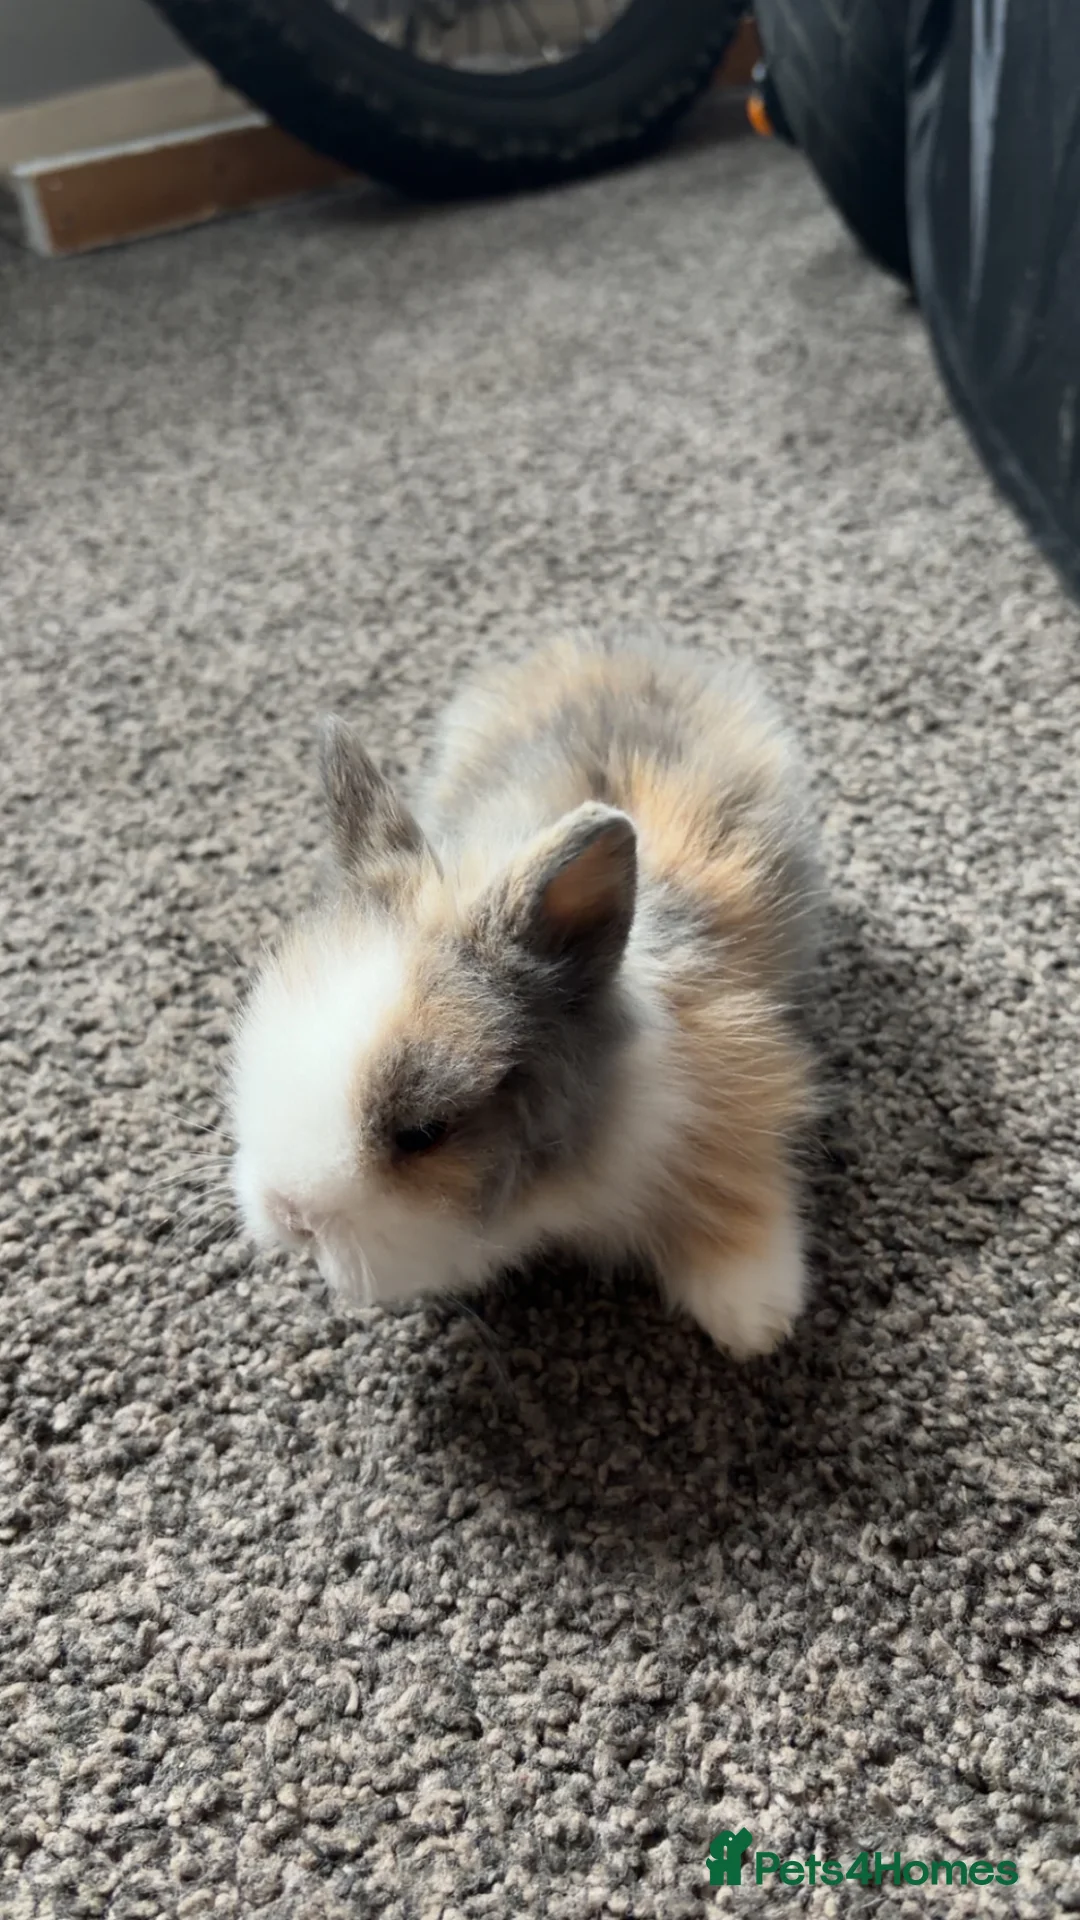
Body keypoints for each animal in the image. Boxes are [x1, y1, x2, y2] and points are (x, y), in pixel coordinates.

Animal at [230, 633, 823, 1358]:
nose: (292, 1216)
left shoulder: (733, 1073)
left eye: (424, 1133)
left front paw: (756, 1318)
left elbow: (731, 1182)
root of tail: (607, 649)